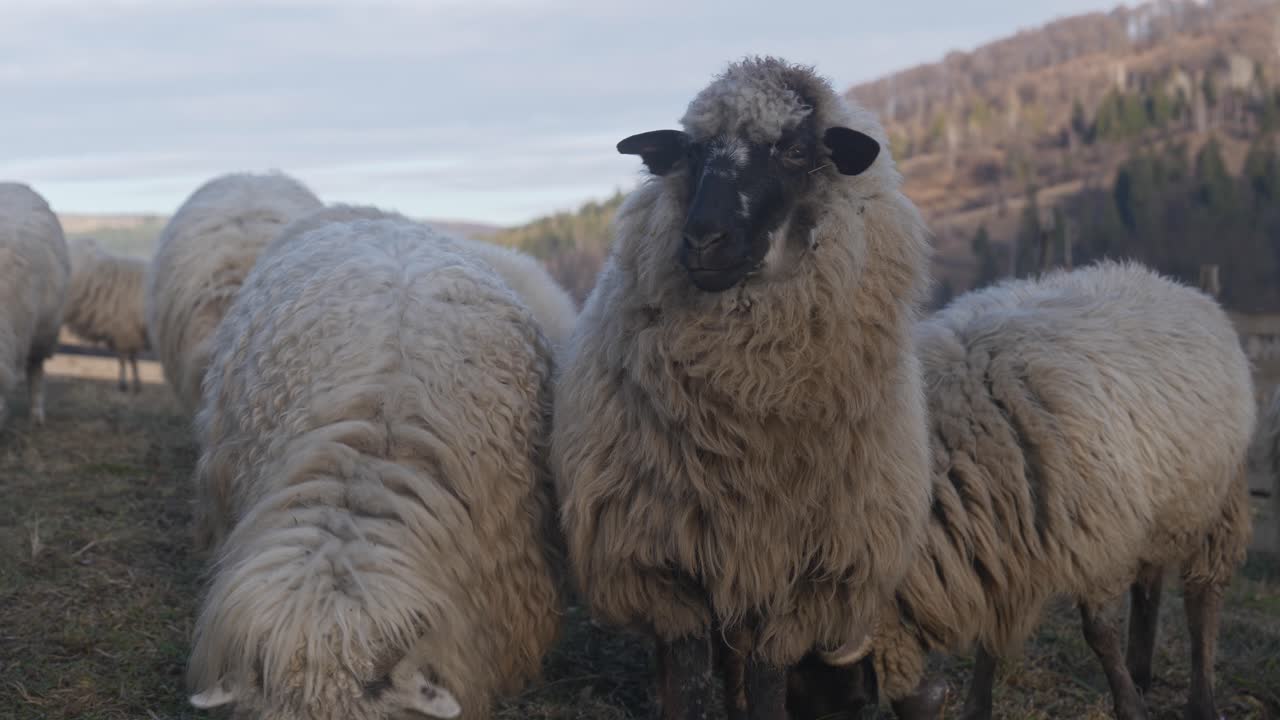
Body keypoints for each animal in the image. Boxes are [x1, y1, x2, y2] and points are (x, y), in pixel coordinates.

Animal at [64, 237, 150, 393]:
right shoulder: (125, 334)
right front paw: (127, 384)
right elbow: (126, 360)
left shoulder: (126, 333)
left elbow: (129, 360)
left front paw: (131, 384)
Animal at [551, 56, 933, 718]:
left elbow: (768, 678)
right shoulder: (661, 562)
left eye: (797, 150)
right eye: (693, 152)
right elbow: (690, 678)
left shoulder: (800, 576)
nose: (703, 240)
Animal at [789, 261, 1255, 720]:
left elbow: (1099, 632)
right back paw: (1141, 671)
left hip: (1218, 503)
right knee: (1149, 584)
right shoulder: (999, 540)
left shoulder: (1096, 541)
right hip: (1160, 508)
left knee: (1203, 602)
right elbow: (992, 635)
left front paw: (1130, 708)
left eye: (844, 697)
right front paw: (977, 707)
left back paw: (1202, 700)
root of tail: (1174, 283)